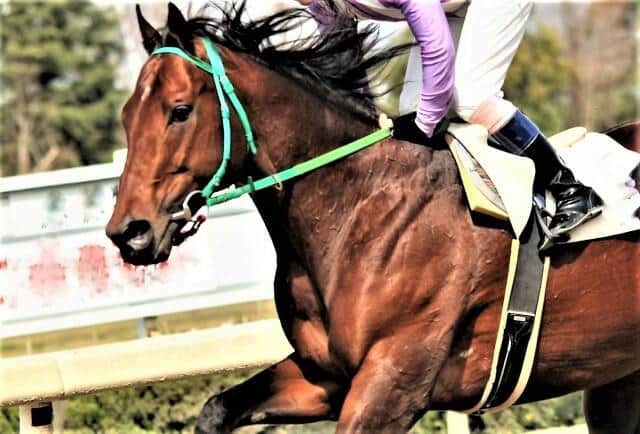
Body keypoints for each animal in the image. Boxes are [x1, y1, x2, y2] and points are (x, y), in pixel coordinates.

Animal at [106, 4, 640, 433]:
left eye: (179, 111)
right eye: (127, 115)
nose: (128, 233)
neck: (357, 209)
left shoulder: (393, 381)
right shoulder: (324, 376)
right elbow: (217, 408)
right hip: (616, 376)